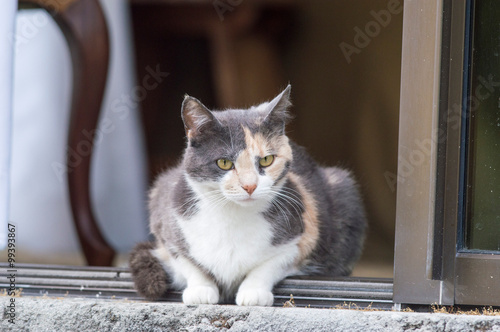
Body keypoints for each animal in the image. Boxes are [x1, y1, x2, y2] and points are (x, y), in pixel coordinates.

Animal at [129, 85, 368, 306]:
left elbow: (270, 264)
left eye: (266, 160)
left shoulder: (303, 236)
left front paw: (253, 292)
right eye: (224, 163)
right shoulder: (165, 218)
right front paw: (201, 289)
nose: (250, 185)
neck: (232, 216)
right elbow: (187, 262)